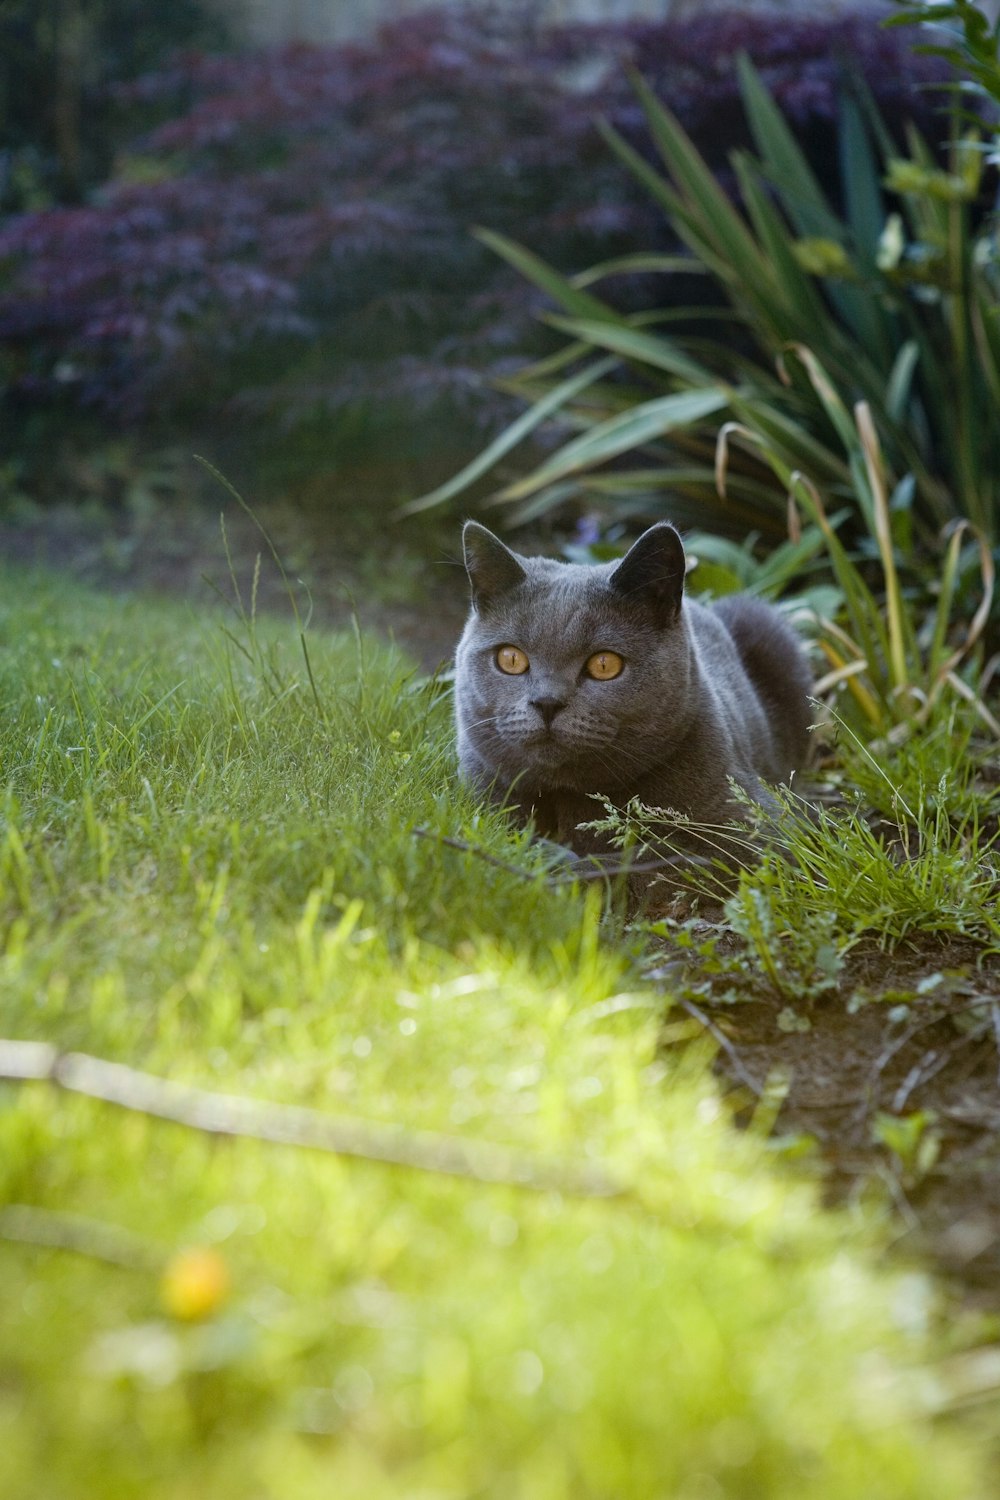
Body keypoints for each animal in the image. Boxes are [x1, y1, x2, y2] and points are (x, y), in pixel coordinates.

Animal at [452, 525, 815, 858]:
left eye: (604, 664)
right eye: (511, 659)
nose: (547, 702)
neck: (570, 797)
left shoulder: (760, 830)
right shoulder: (480, 796)